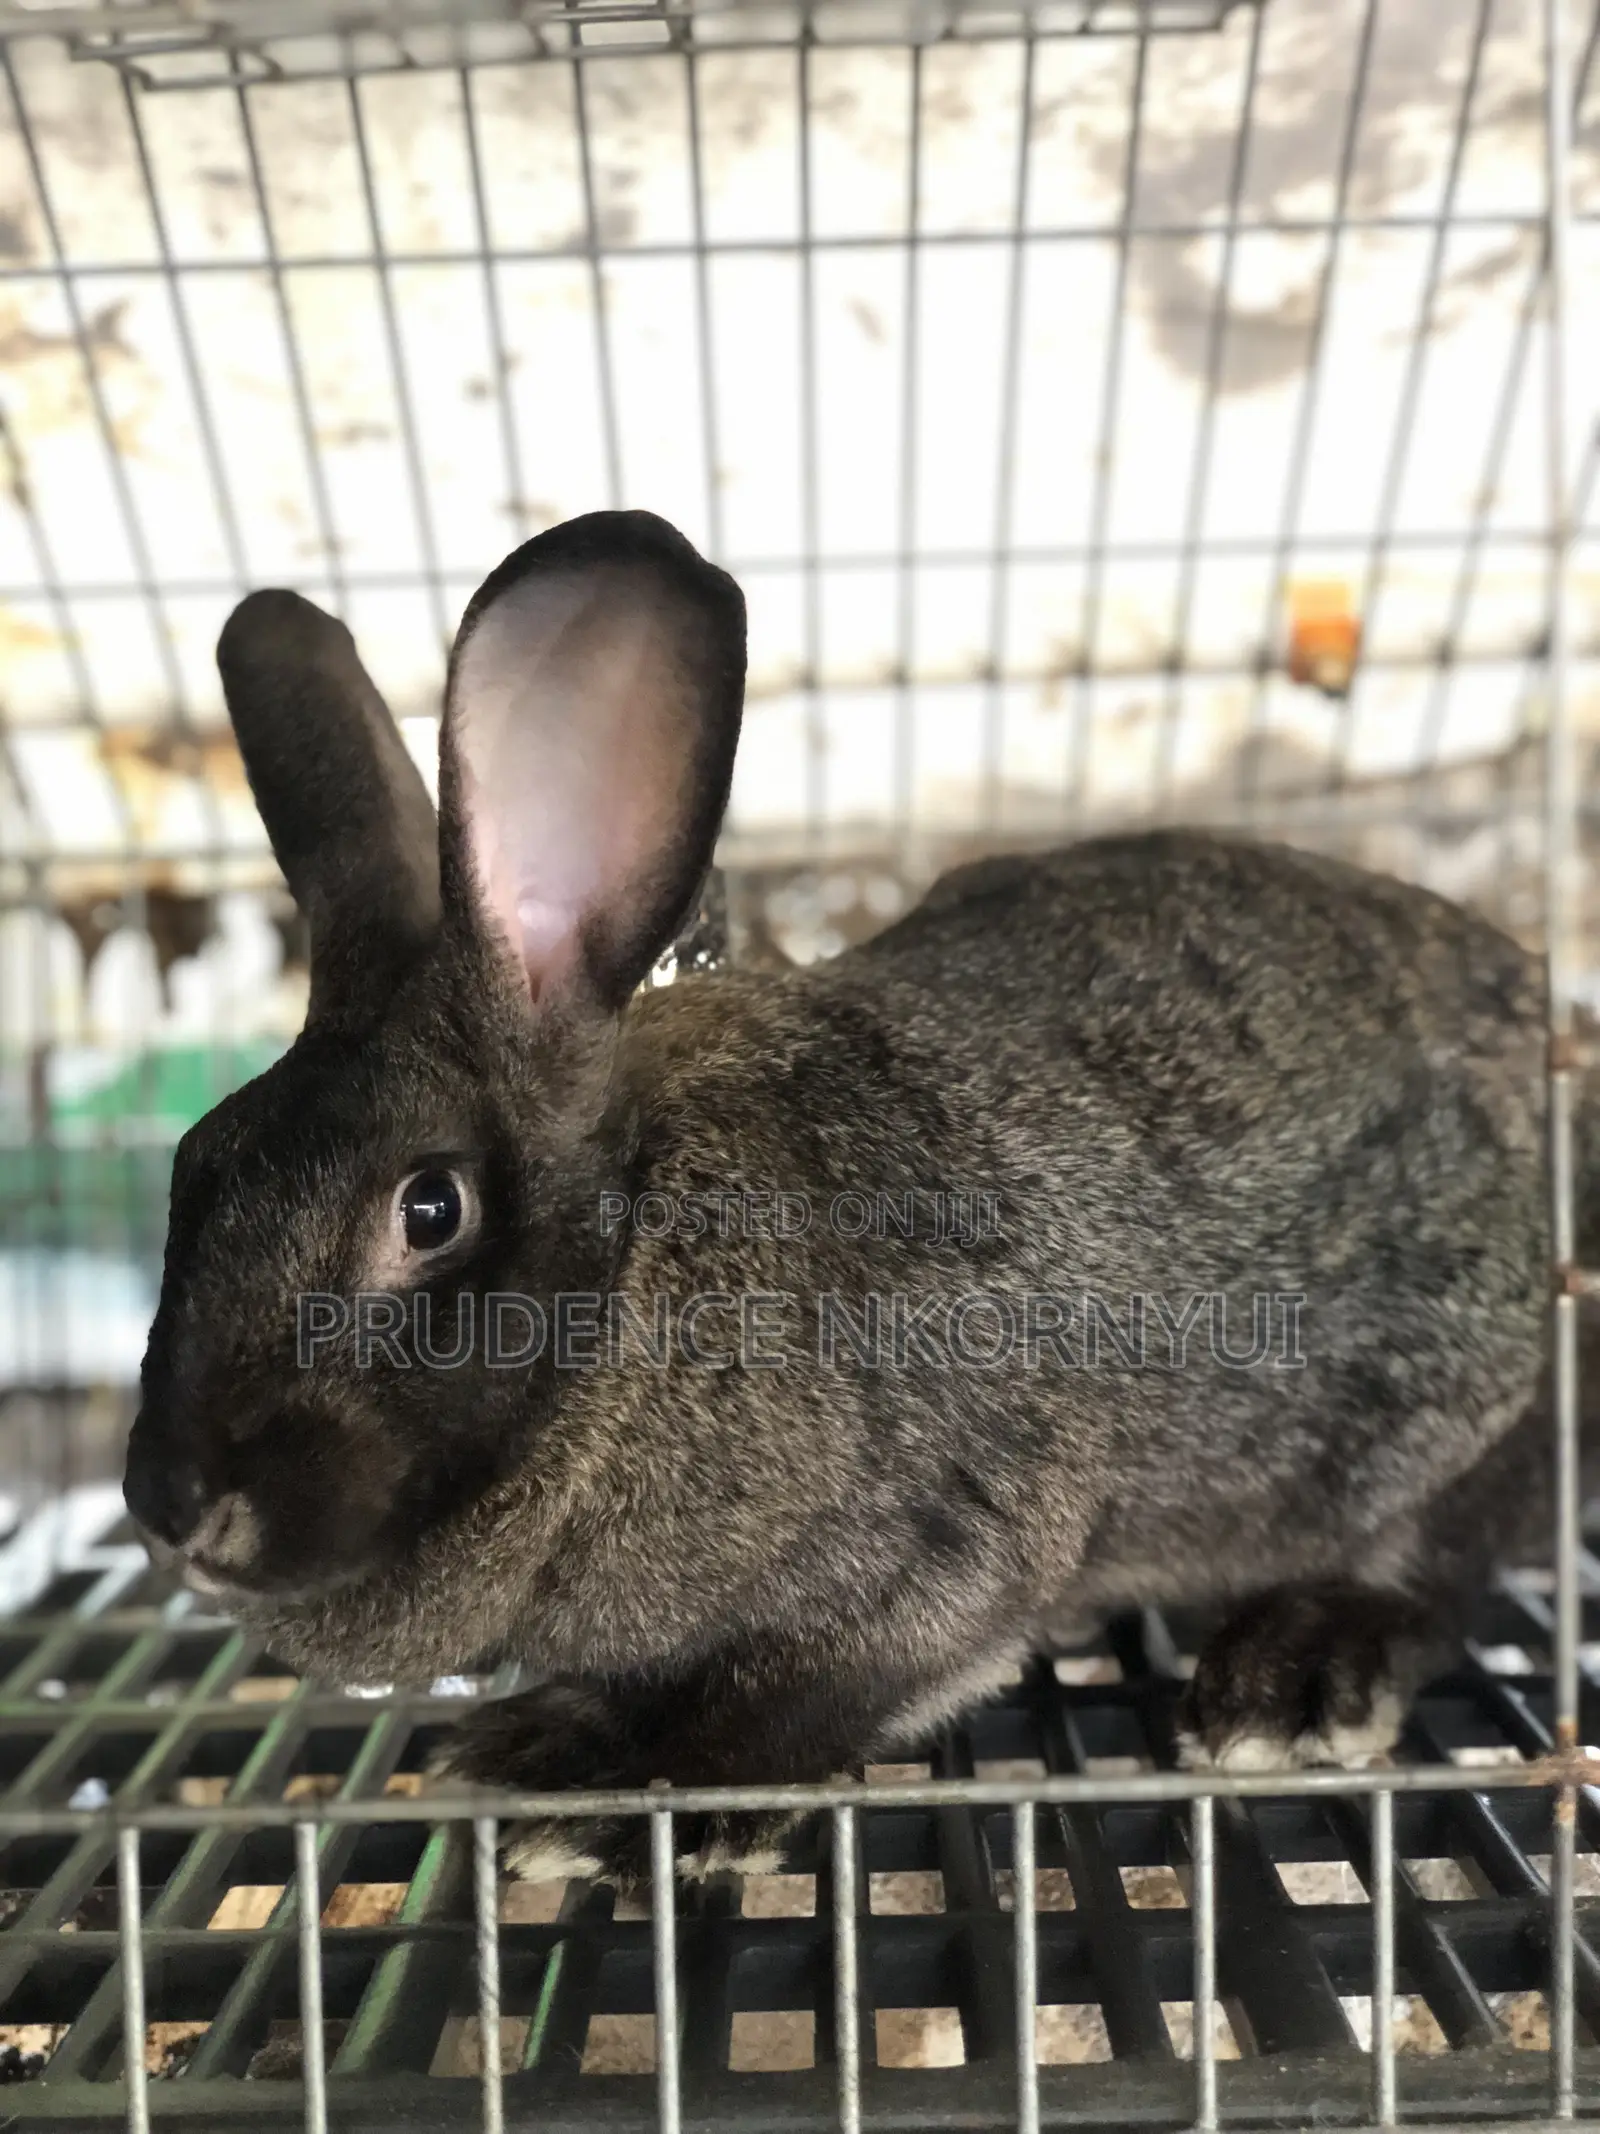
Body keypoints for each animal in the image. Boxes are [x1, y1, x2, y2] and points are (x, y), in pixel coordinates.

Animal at [124, 506, 1579, 1889]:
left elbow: (794, 1699)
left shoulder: (948, 1548)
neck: (636, 1283)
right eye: (197, 1164)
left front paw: (613, 1803)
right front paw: (543, 1745)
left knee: (1438, 1557)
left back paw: (1296, 1674)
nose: (173, 1507)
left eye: (429, 1209)